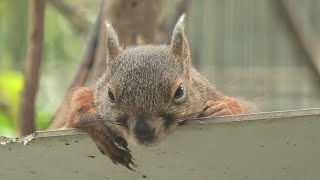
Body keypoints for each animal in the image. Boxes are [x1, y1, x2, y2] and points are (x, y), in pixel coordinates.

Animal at [51, 14, 254, 169]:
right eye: (110, 94)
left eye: (179, 91)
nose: (143, 131)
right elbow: (79, 103)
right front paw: (97, 126)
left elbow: (243, 107)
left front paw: (223, 109)